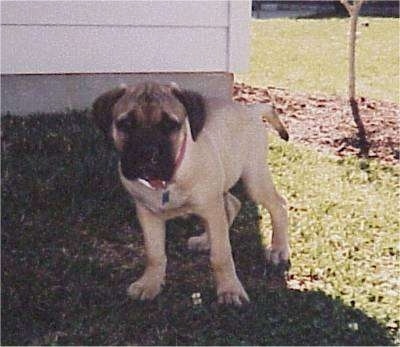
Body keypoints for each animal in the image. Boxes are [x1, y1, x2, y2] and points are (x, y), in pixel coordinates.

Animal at [92, 82, 290, 308]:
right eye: (125, 124)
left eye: (170, 125)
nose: (147, 153)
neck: (165, 183)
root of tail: (251, 110)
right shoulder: (147, 214)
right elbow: (154, 254)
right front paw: (150, 283)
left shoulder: (211, 208)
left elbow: (221, 256)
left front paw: (229, 290)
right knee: (232, 204)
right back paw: (205, 240)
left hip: (253, 179)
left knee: (278, 206)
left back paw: (278, 249)